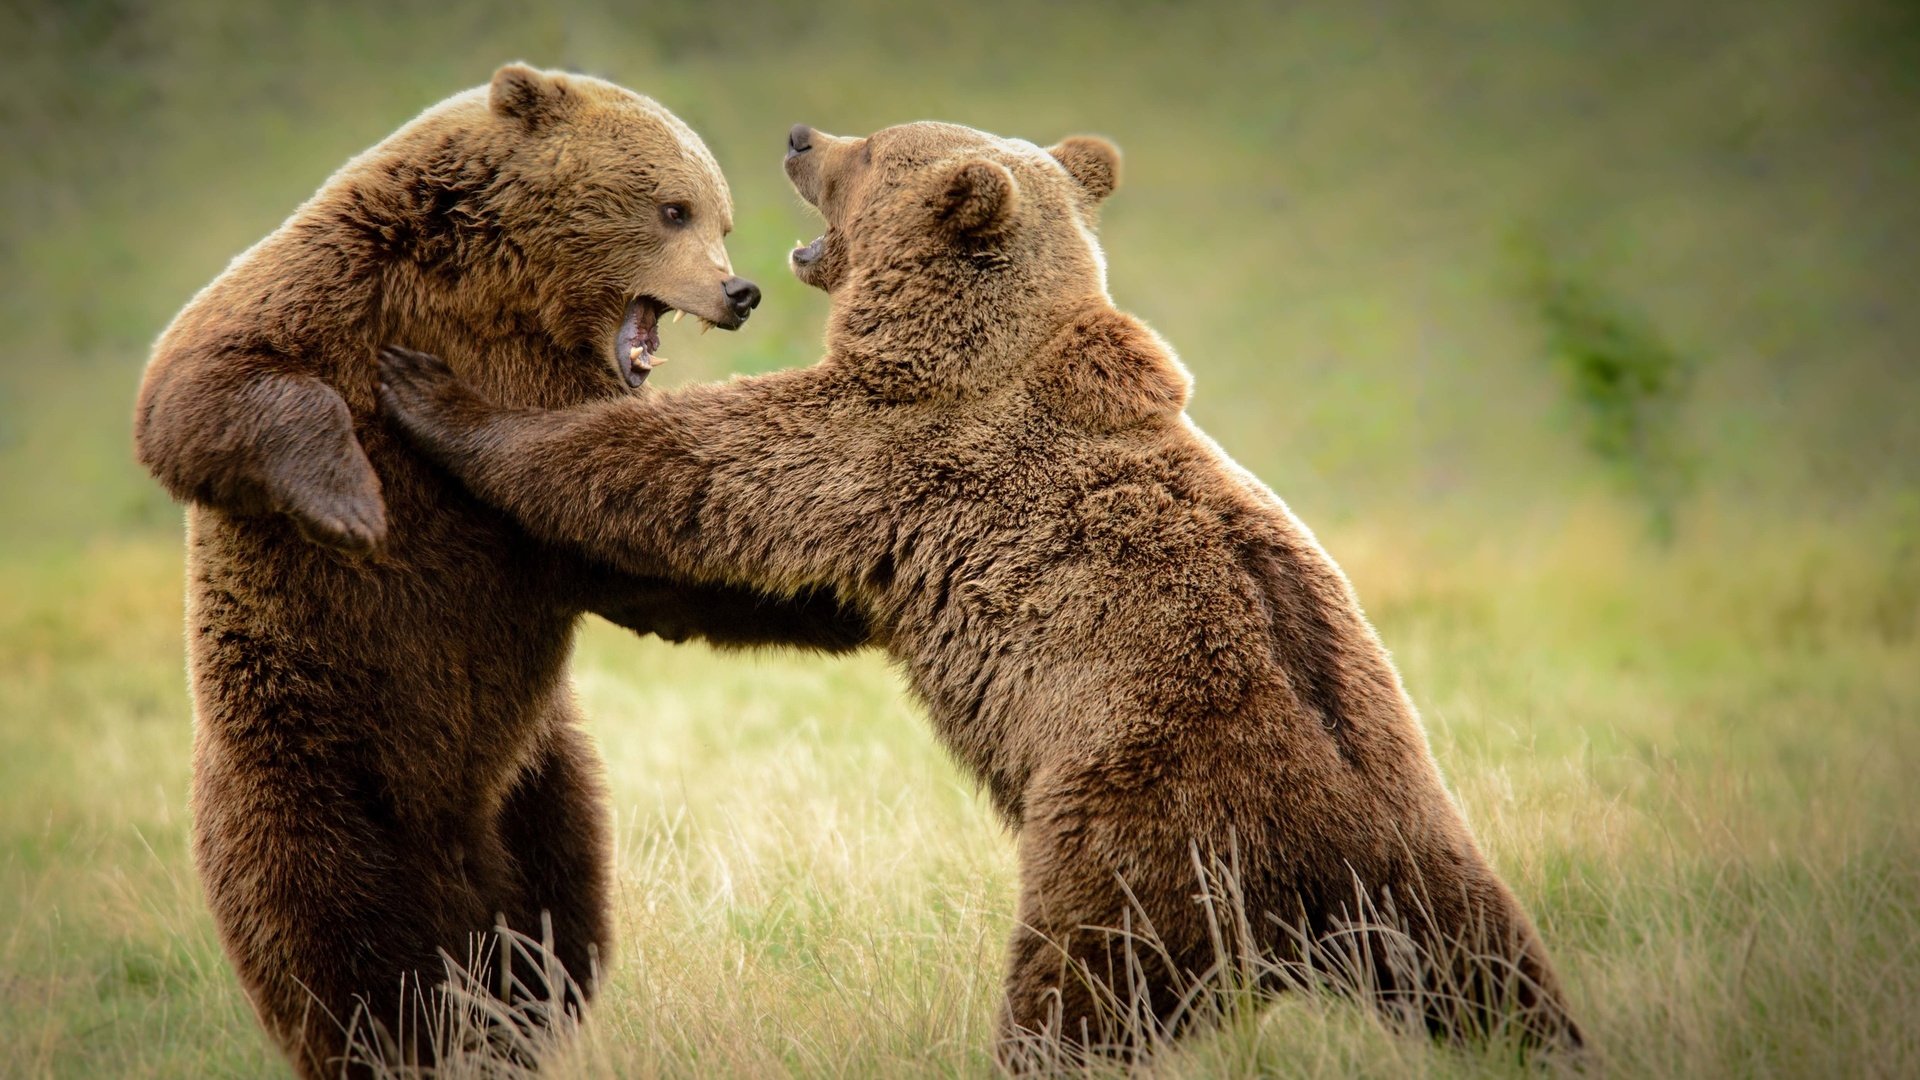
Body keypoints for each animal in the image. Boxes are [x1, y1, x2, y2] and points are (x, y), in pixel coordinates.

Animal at [129, 65, 864, 1068]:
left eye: (718, 215)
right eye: (674, 207)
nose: (739, 289)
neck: (504, 300)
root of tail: (451, 855)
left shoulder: (562, 405)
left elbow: (630, 536)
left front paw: (835, 600)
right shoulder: (337, 287)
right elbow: (202, 384)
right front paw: (352, 504)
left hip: (542, 790)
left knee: (556, 935)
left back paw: (509, 1024)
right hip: (309, 765)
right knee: (332, 939)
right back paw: (394, 1037)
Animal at [374, 117, 1589, 1060]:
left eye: (874, 149)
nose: (800, 136)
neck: (961, 343)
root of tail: (1332, 866)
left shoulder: (896, 448)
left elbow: (697, 472)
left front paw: (436, 398)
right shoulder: (896, 517)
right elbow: (790, 591)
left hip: (1140, 832)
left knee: (1076, 995)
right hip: (1434, 873)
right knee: (1495, 986)